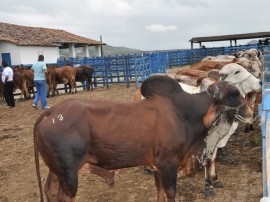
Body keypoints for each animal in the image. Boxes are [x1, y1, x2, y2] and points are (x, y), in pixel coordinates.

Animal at [34, 75, 253, 201]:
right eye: (234, 93)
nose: (251, 112)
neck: (186, 112)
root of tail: (52, 112)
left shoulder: (156, 167)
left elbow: (160, 192)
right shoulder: (168, 164)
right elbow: (170, 193)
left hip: (56, 171)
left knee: (50, 191)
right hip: (69, 174)